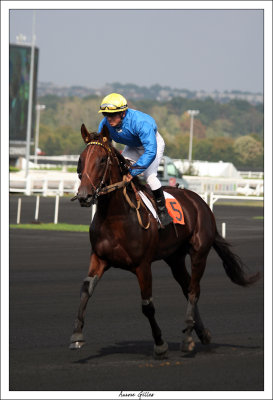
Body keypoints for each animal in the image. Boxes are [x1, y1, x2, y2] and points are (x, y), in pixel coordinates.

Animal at [68, 123, 260, 358]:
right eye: (81, 159)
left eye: (102, 159)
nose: (84, 196)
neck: (117, 217)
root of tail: (199, 202)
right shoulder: (99, 258)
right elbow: (86, 289)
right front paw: (77, 335)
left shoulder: (143, 265)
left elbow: (147, 305)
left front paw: (160, 343)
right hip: (174, 258)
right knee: (187, 287)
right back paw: (201, 333)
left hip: (199, 252)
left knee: (194, 290)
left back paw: (187, 338)